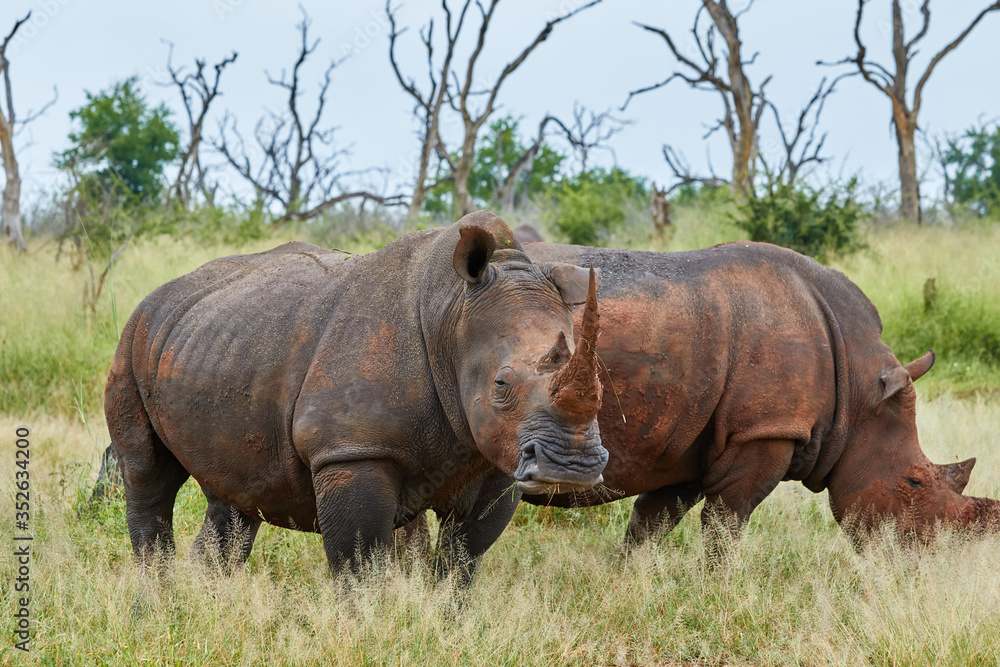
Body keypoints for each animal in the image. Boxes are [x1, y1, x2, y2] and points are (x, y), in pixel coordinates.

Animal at [103, 211, 608, 578]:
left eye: (602, 383)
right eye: (501, 385)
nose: (572, 467)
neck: (451, 317)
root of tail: (159, 294)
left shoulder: (497, 461)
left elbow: (462, 561)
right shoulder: (351, 449)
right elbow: (359, 564)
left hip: (215, 345)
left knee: (236, 494)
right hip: (132, 337)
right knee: (147, 476)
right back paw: (158, 599)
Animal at [515, 241, 1000, 545]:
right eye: (913, 482)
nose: (921, 564)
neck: (860, 389)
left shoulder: (687, 442)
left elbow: (650, 525)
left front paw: (630, 585)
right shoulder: (765, 431)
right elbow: (726, 524)